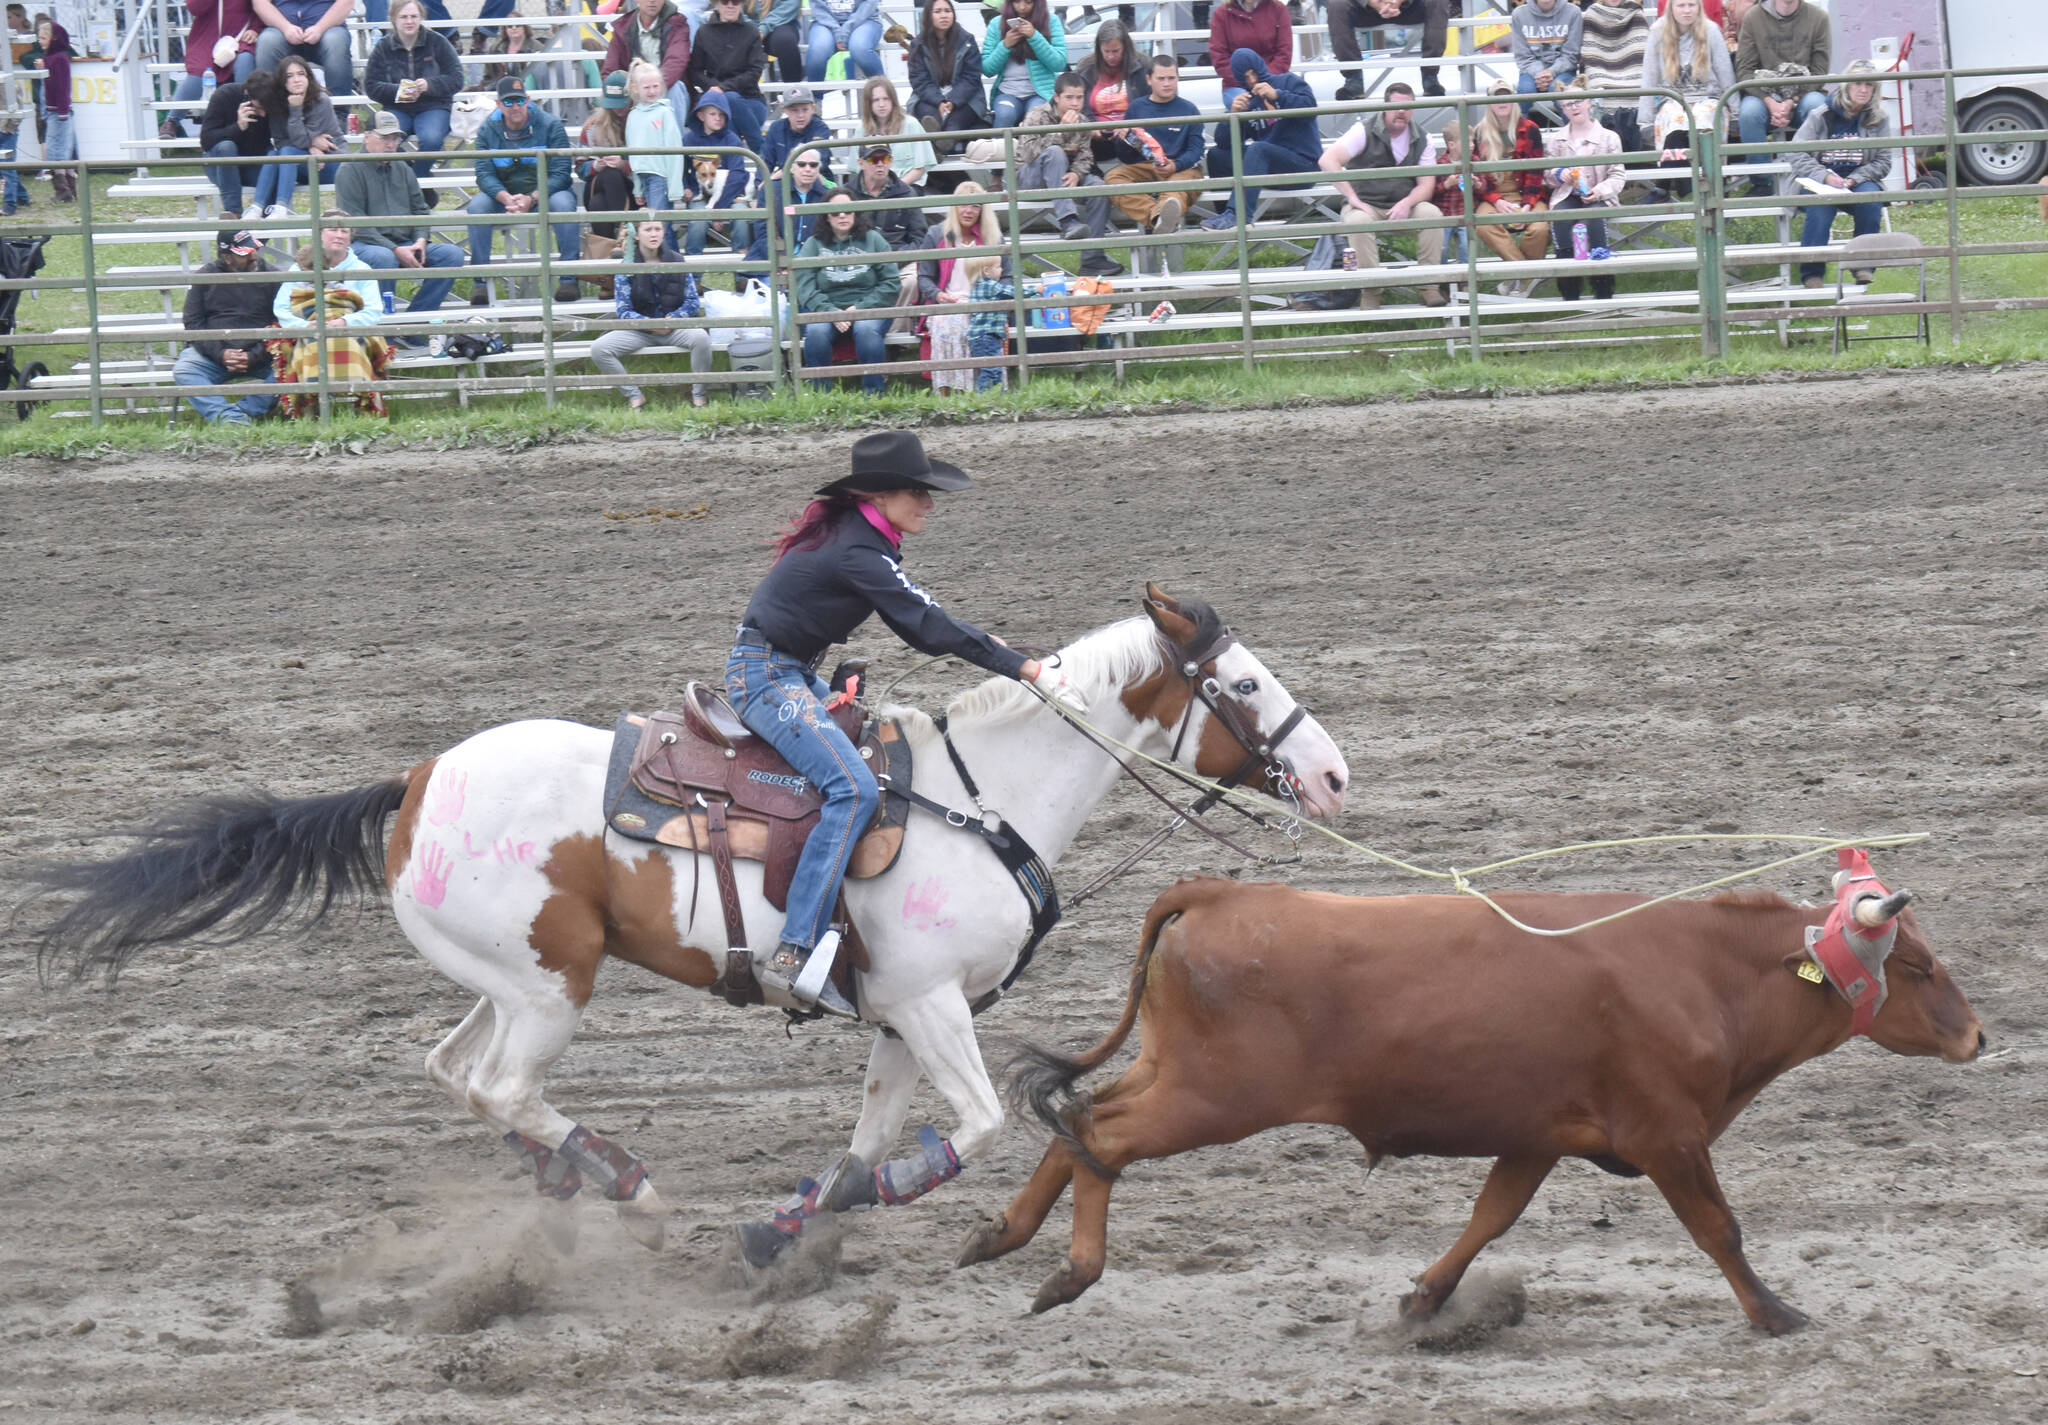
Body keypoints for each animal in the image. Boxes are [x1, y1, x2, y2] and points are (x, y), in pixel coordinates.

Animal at [36, 585, 1343, 1261]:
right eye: (1242, 686)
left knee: (457, 1072)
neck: (978, 798)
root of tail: (413, 782)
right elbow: (970, 1127)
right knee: (501, 1085)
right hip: (553, 989)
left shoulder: (901, 1014)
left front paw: (793, 1222)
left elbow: (868, 1142)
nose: (1330, 775)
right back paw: (627, 1183)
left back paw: (575, 1174)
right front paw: (833, 1209)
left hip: (509, 979)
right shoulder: (929, 1004)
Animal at [966, 872, 1990, 1326]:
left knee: (1076, 1120)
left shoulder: (1536, 1133)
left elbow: (1491, 1215)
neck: (1703, 973)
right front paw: (1776, 1311)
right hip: (1212, 1096)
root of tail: (1222, 891)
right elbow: (1719, 1228)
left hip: (1174, 1072)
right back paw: (1072, 1270)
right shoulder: (1668, 1135)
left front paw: (1428, 1293)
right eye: (1918, 965)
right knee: (1100, 1132)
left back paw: (1005, 1233)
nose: (1979, 1036)